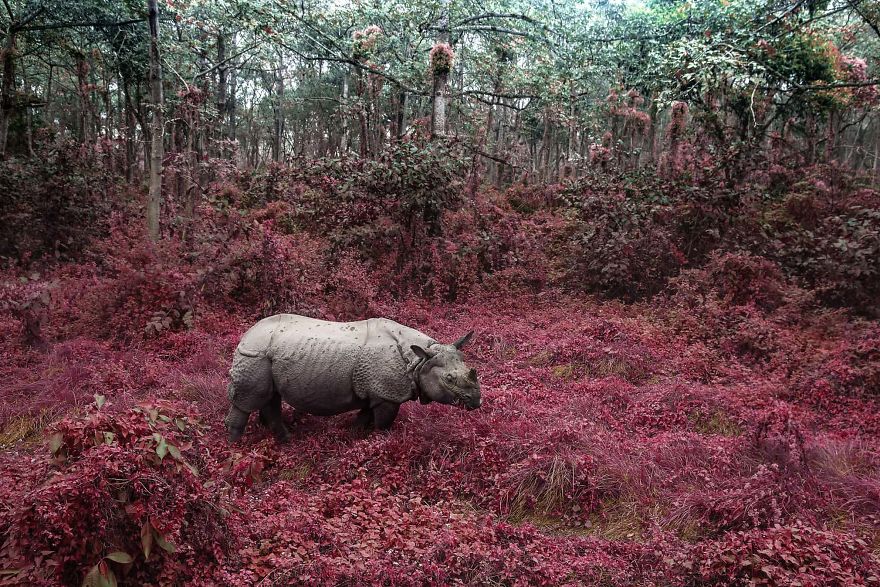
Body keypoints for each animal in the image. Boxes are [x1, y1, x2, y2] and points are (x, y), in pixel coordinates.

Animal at [224, 314, 481, 442]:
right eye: (449, 379)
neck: (419, 360)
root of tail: (245, 334)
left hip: (266, 355)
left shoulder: (374, 391)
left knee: (271, 397)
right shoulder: (387, 395)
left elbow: (363, 418)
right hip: (254, 355)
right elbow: (383, 424)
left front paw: (352, 437)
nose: (477, 400)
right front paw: (382, 443)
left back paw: (285, 440)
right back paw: (235, 447)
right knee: (247, 401)